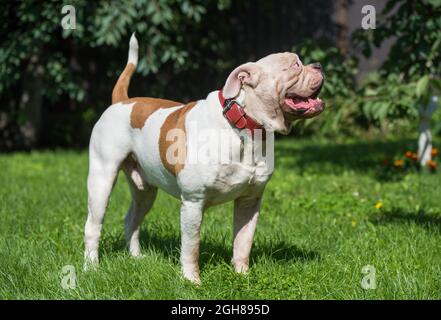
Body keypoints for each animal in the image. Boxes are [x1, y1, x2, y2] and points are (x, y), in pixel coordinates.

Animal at [84, 33, 324, 284]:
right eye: (295, 65)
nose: (319, 65)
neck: (244, 126)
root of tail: (121, 100)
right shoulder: (193, 202)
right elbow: (191, 247)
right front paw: (192, 281)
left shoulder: (249, 201)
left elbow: (243, 242)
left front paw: (242, 275)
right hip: (102, 179)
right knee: (93, 226)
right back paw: (91, 267)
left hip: (145, 191)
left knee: (132, 219)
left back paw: (136, 257)